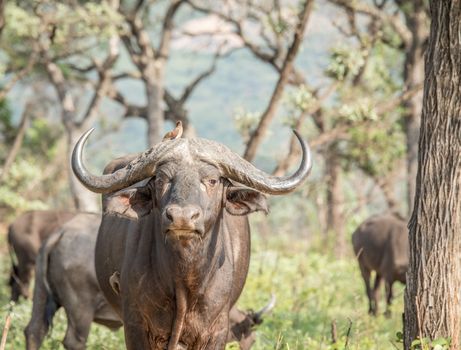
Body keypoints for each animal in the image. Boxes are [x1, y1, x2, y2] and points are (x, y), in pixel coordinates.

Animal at [26, 212, 274, 348]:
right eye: (247, 340)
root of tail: (62, 232)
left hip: (42, 295)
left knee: (34, 330)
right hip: (81, 309)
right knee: (74, 340)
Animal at [72, 130, 310, 348]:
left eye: (212, 180)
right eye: (161, 179)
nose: (182, 217)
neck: (183, 280)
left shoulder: (217, 329)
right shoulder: (135, 325)